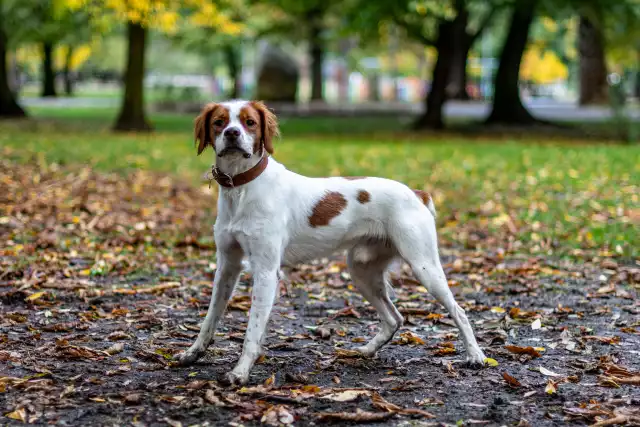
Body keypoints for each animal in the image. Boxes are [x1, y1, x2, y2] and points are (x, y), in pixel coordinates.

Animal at [175, 99, 484, 384]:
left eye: (249, 122)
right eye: (219, 122)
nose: (232, 133)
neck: (242, 189)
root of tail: (417, 192)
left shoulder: (265, 271)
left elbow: (252, 330)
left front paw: (240, 372)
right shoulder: (227, 265)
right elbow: (210, 318)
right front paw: (194, 352)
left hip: (424, 266)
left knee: (459, 311)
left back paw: (475, 356)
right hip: (361, 270)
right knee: (394, 318)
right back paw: (367, 350)